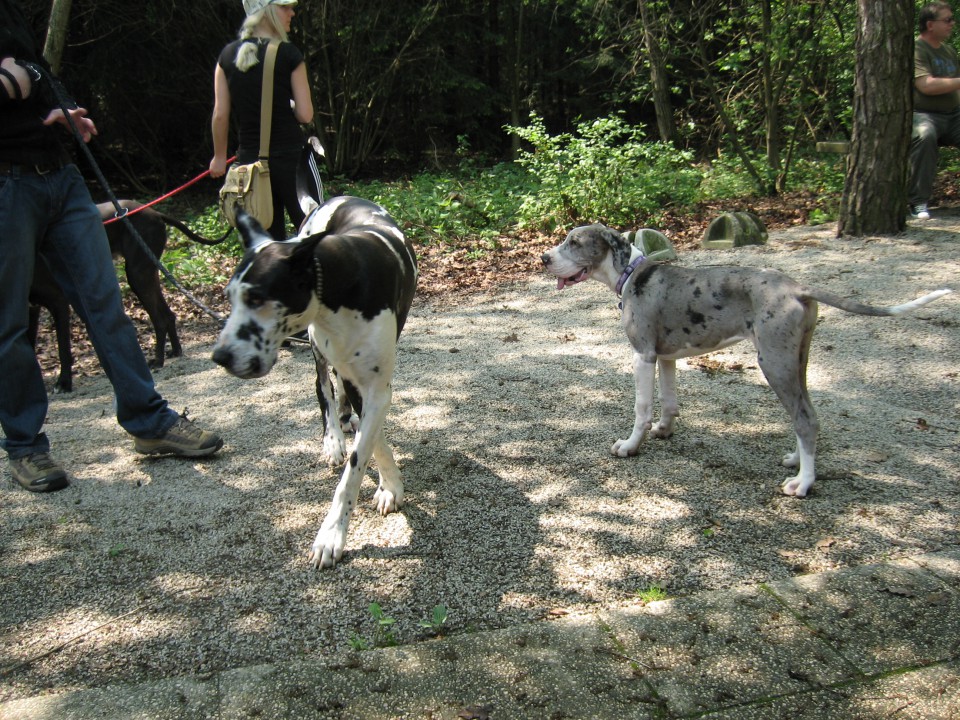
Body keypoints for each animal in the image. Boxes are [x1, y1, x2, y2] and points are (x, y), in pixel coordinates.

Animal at [30, 200, 231, 390]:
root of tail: (154, 212)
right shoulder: (31, 310)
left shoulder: (59, 302)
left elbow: (62, 347)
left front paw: (63, 383)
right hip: (146, 271)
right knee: (167, 314)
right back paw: (174, 351)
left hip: (137, 272)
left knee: (159, 319)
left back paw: (158, 360)